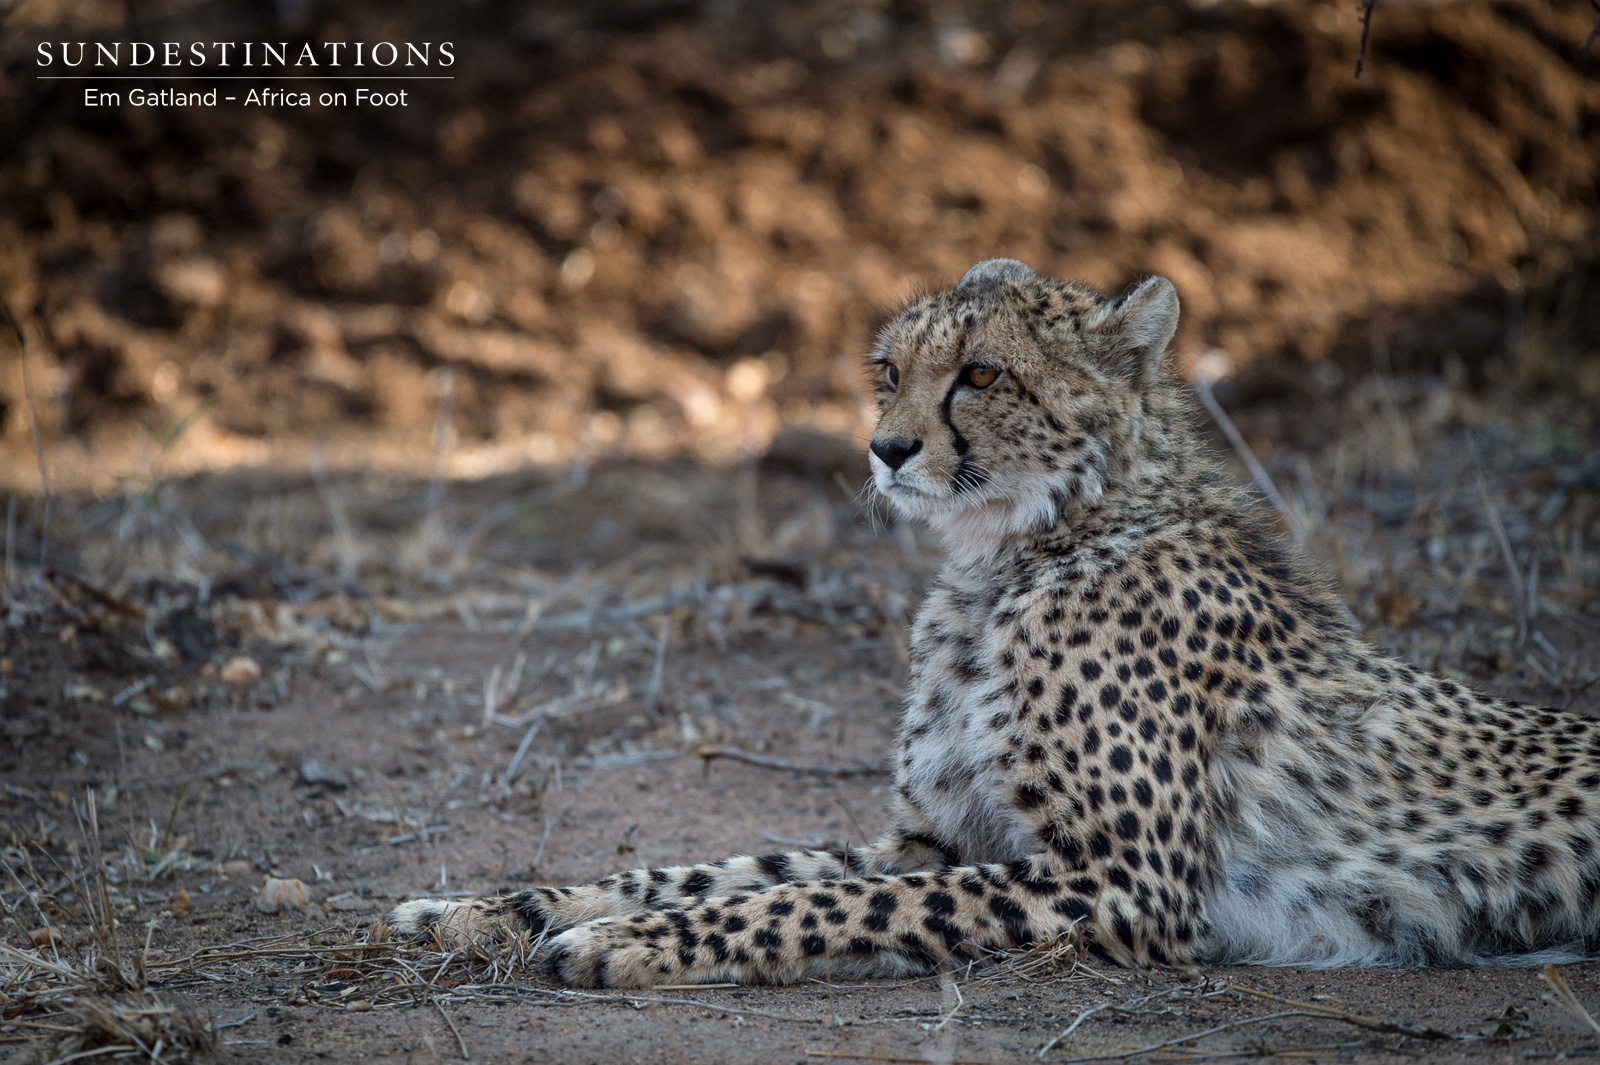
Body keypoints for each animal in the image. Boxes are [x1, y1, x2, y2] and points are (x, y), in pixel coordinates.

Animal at [387, 258, 1600, 988]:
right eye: (888, 370)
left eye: (980, 374)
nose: (886, 448)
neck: (1009, 560)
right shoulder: (935, 835)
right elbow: (733, 867)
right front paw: (494, 909)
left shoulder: (1123, 882)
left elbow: (821, 901)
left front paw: (633, 941)